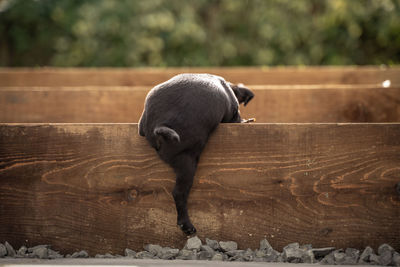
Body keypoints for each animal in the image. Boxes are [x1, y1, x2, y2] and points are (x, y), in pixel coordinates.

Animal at [139, 73, 255, 234]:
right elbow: (235, 119)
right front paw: (247, 121)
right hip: (186, 159)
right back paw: (189, 228)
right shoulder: (233, 114)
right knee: (178, 193)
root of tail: (158, 125)